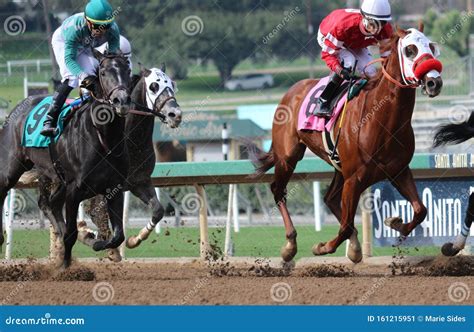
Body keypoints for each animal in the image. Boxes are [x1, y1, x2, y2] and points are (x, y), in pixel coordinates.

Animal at [254, 24, 442, 264]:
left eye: (432, 47)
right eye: (410, 50)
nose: (434, 82)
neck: (381, 119)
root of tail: (291, 90)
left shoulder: (398, 171)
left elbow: (421, 210)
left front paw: (395, 223)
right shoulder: (355, 177)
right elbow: (344, 227)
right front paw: (322, 247)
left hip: (339, 166)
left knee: (329, 198)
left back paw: (353, 245)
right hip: (288, 157)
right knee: (278, 190)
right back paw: (290, 244)